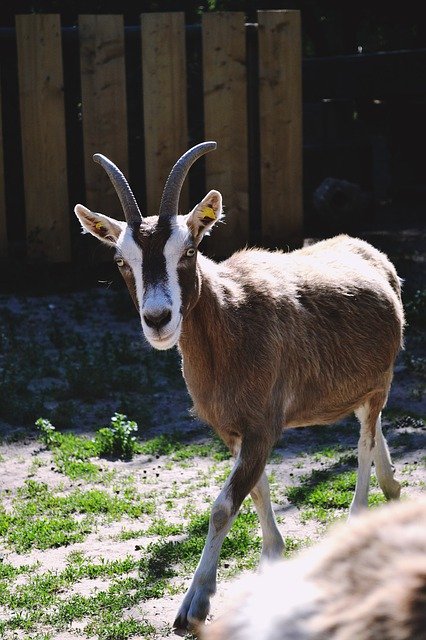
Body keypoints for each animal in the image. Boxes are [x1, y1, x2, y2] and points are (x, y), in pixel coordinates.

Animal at [75, 139, 404, 632]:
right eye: (121, 261)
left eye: (188, 250)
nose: (158, 320)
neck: (233, 316)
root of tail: (372, 255)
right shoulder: (234, 431)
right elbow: (257, 489)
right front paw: (272, 559)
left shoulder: (263, 427)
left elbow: (223, 506)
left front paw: (194, 606)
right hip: (364, 386)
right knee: (374, 422)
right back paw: (392, 485)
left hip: (379, 381)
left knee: (364, 440)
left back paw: (361, 514)